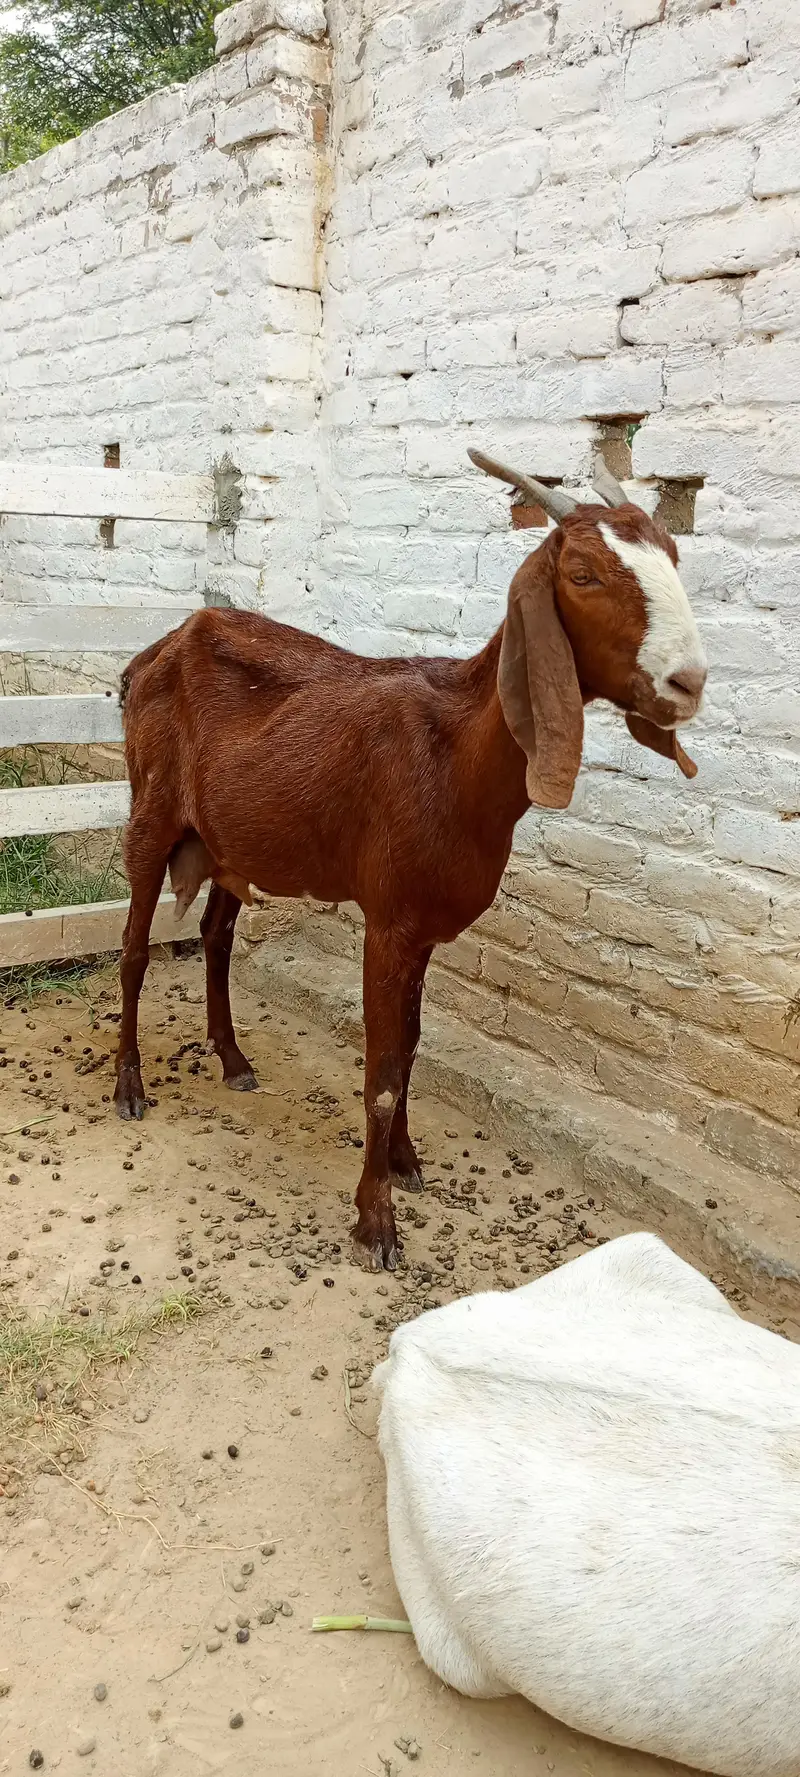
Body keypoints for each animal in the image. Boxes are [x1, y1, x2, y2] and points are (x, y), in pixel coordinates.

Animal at [115, 455, 707, 1271]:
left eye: (675, 556)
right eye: (583, 573)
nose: (690, 682)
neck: (455, 757)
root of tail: (154, 652)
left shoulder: (426, 927)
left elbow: (415, 1043)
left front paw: (405, 1161)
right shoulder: (388, 922)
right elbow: (384, 1066)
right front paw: (375, 1221)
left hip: (234, 838)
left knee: (216, 936)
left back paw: (233, 1060)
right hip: (151, 808)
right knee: (135, 947)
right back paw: (129, 1085)